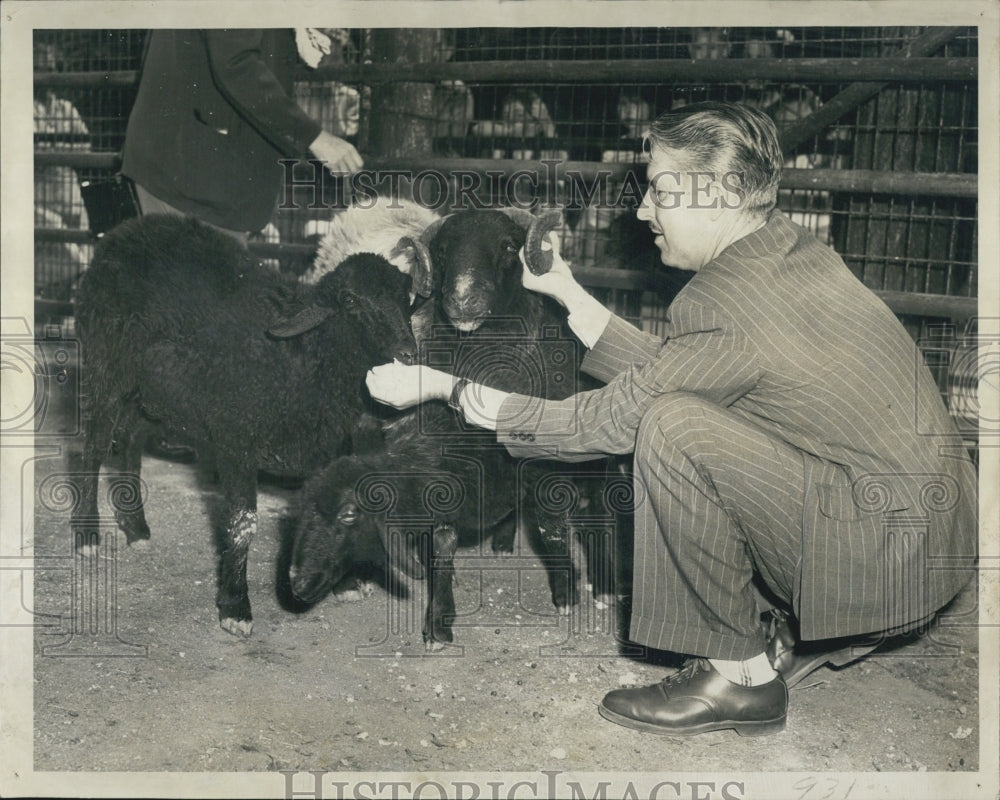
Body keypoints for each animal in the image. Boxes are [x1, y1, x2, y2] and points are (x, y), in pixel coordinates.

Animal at [70, 214, 414, 636]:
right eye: (351, 301)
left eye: (407, 300)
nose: (408, 353)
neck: (305, 357)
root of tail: (124, 233)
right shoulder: (235, 439)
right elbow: (242, 523)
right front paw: (235, 607)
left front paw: (345, 583)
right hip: (107, 366)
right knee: (93, 448)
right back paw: (86, 534)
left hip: (153, 392)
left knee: (130, 441)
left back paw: (135, 527)